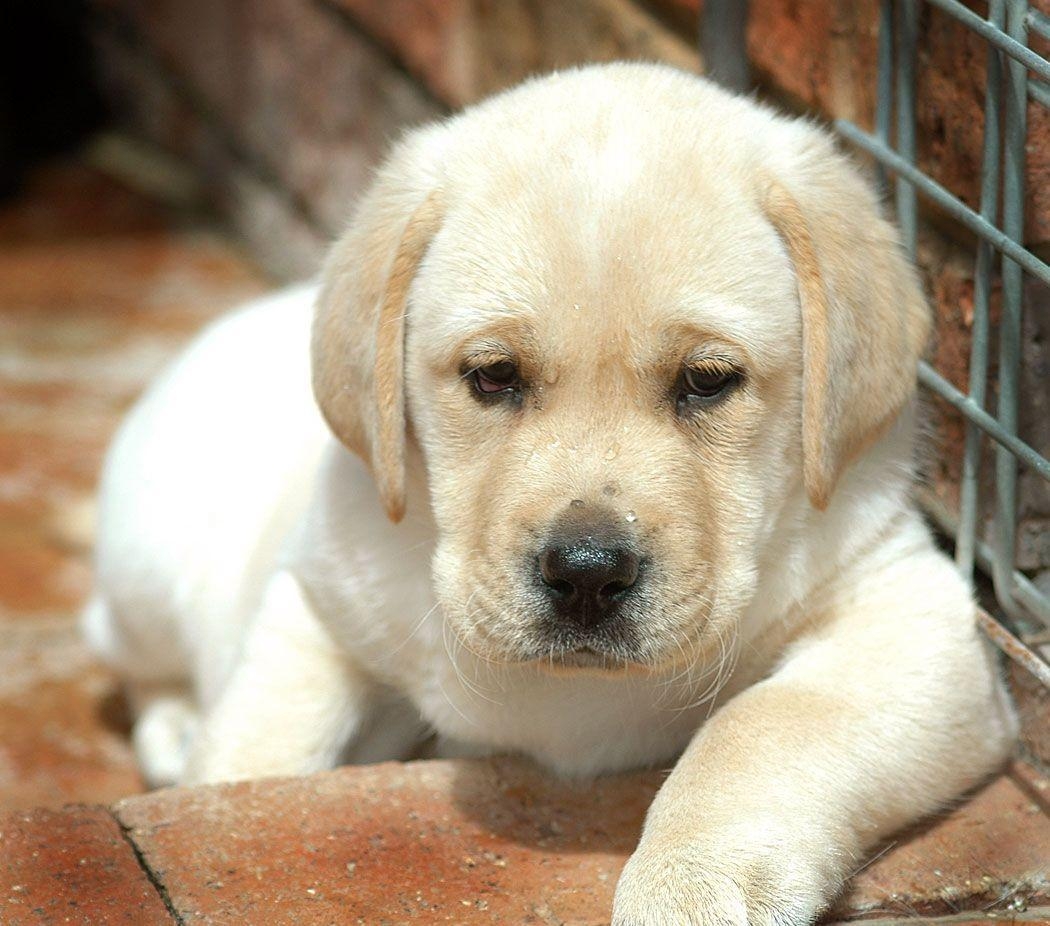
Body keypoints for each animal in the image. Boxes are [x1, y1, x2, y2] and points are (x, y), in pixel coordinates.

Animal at [84, 61, 1016, 919]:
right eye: (493, 376)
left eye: (708, 381)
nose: (588, 575)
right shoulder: (316, 601)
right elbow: (259, 743)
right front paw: (215, 788)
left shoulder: (910, 619)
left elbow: (761, 725)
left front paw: (692, 881)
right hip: (143, 561)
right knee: (123, 647)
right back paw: (172, 725)